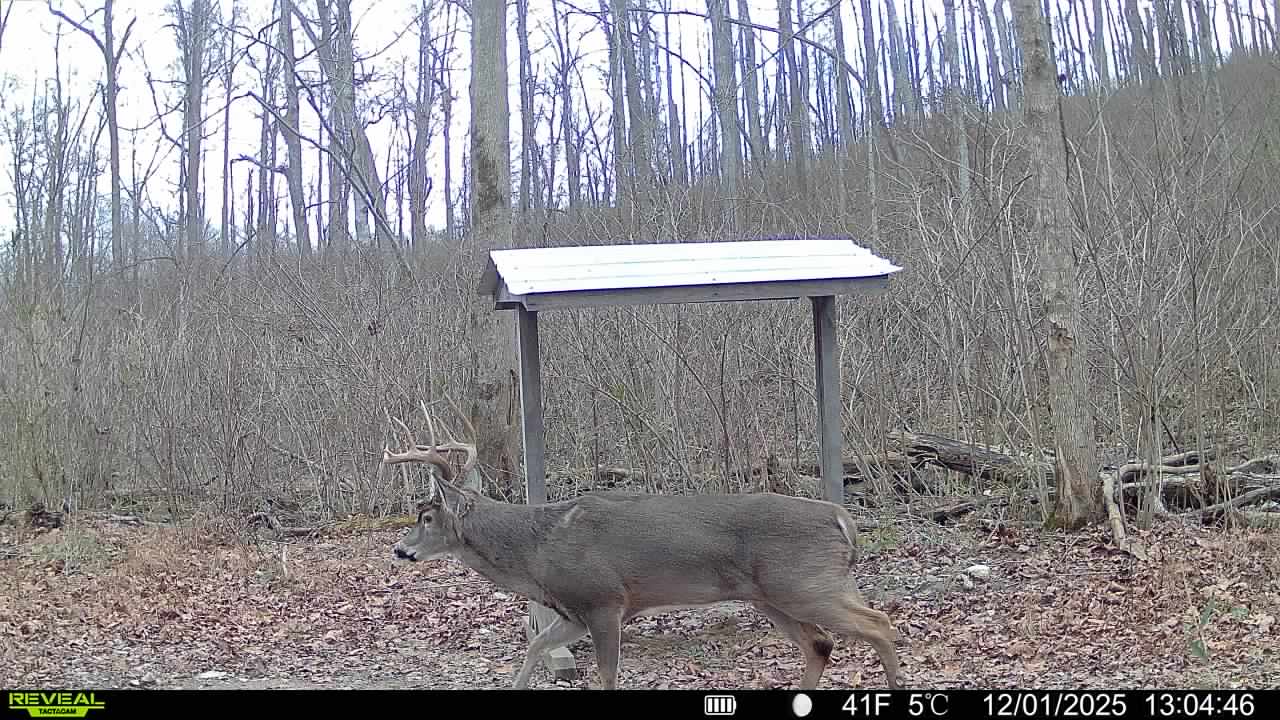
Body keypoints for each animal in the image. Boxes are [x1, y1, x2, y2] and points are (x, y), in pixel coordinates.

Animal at [382, 403, 901, 691]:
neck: (535, 549)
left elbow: (608, 674)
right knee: (822, 643)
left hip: (804, 583)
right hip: (778, 594)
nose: (400, 551)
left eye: (426, 518)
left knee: (878, 623)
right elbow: (533, 648)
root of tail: (841, 519)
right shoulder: (572, 612)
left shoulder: (604, 601)